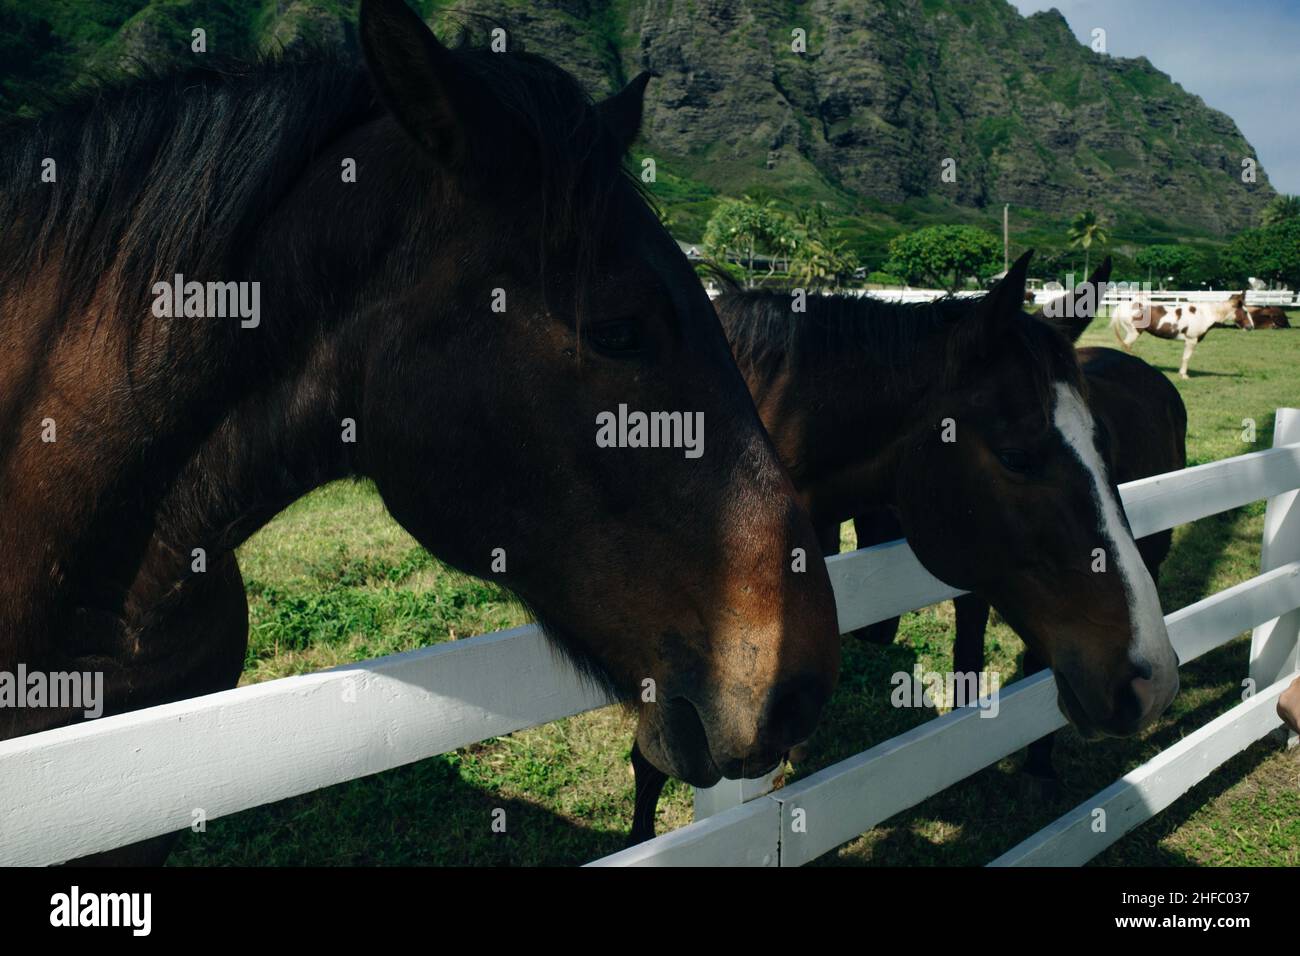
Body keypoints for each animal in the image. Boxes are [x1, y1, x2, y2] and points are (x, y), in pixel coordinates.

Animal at [1110, 293, 1246, 379]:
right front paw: (1184, 375)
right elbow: (1186, 358)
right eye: (1244, 311)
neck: (1204, 315)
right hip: (1133, 333)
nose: (1249, 326)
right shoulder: (1191, 340)